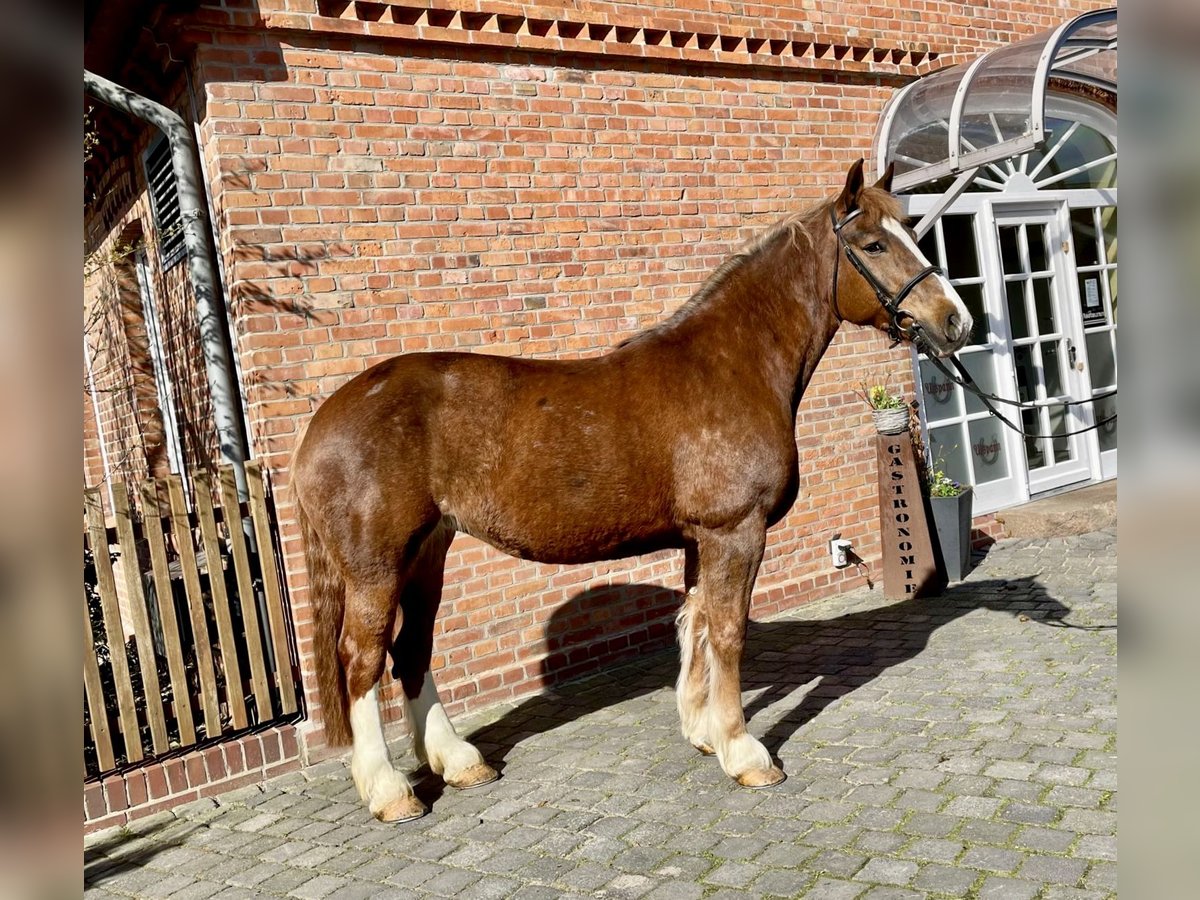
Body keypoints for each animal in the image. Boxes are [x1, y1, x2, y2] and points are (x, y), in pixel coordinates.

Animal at [292, 158, 974, 820]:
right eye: (874, 243)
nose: (956, 321)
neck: (732, 364)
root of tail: (320, 425)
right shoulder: (735, 531)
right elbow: (728, 632)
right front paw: (745, 752)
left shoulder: (701, 538)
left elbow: (695, 624)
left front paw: (704, 733)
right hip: (377, 566)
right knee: (361, 658)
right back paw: (389, 791)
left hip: (426, 552)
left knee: (411, 651)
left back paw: (459, 762)